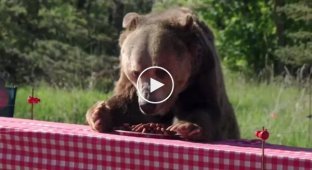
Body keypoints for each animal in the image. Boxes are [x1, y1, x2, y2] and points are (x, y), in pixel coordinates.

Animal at [86, 7, 240, 141]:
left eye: (160, 71)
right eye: (135, 72)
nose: (147, 105)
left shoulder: (202, 72)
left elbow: (203, 106)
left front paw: (186, 126)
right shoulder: (130, 83)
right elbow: (128, 104)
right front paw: (98, 113)